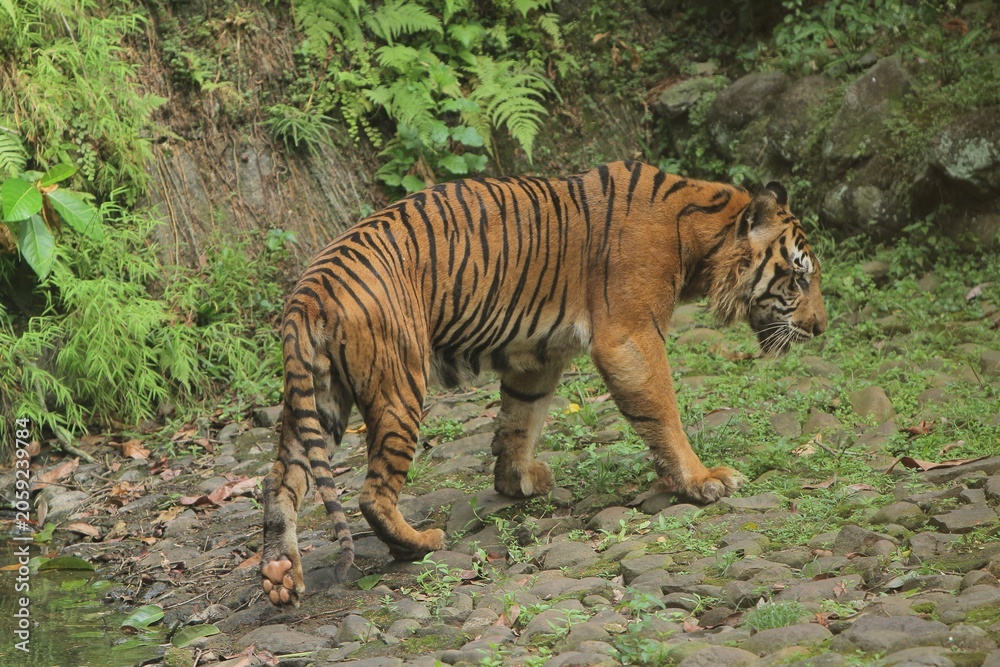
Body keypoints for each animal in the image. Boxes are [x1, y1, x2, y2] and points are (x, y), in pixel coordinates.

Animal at [259, 160, 826, 607]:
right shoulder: (630, 336)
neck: (700, 233)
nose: (822, 327)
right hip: (400, 387)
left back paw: (280, 575)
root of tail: (308, 289)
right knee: (372, 493)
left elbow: (520, 417)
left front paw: (516, 481)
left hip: (321, 399)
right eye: (798, 278)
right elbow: (663, 411)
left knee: (280, 479)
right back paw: (417, 543)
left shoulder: (538, 354)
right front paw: (702, 479)